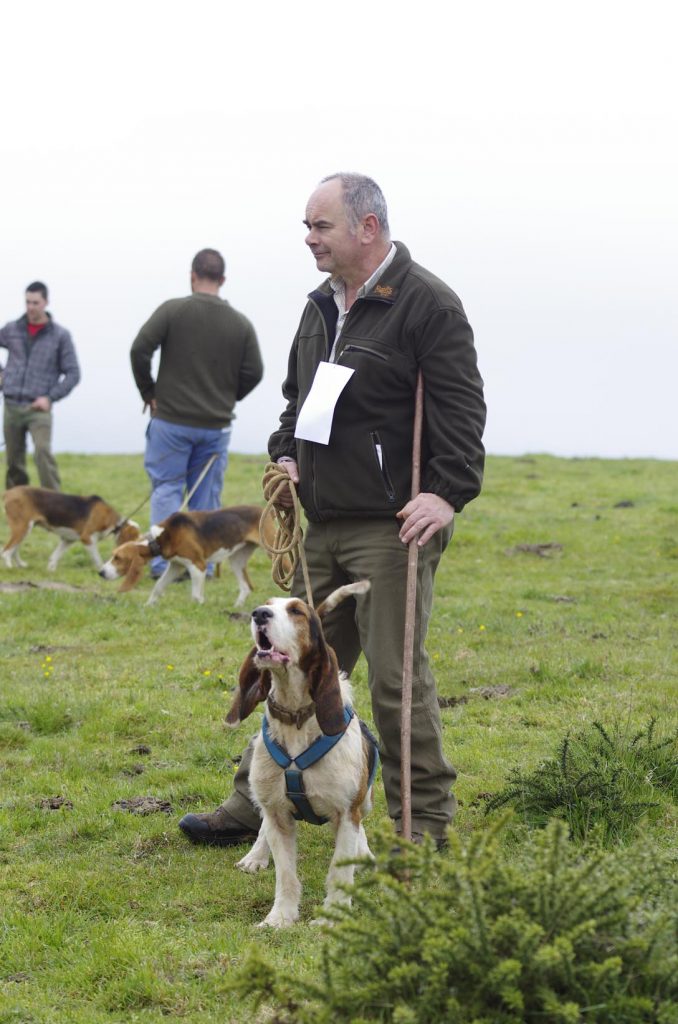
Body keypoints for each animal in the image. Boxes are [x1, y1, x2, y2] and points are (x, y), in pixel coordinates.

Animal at [1, 485, 140, 573]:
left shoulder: (68, 540)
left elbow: (55, 556)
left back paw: (21, 565)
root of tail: (8, 492)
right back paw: (9, 567)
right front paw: (101, 570)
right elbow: (97, 558)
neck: (114, 522)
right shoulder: (87, 539)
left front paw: (51, 570)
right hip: (22, 528)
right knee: (6, 550)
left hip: (25, 529)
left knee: (14, 549)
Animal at [98, 503, 274, 606]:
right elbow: (158, 586)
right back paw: (237, 607)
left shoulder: (198, 566)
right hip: (236, 560)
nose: (101, 573)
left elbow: (196, 595)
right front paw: (149, 606)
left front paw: (199, 607)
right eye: (113, 555)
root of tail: (263, 509)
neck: (162, 537)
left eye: (118, 558)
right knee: (246, 587)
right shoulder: (175, 565)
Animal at [227, 585, 376, 929]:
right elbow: (286, 875)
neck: (295, 716)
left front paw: (333, 917)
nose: (259, 614)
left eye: (296, 611)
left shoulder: (346, 812)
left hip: (365, 800)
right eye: (266, 605)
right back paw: (256, 856)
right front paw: (280, 917)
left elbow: (340, 871)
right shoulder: (278, 814)